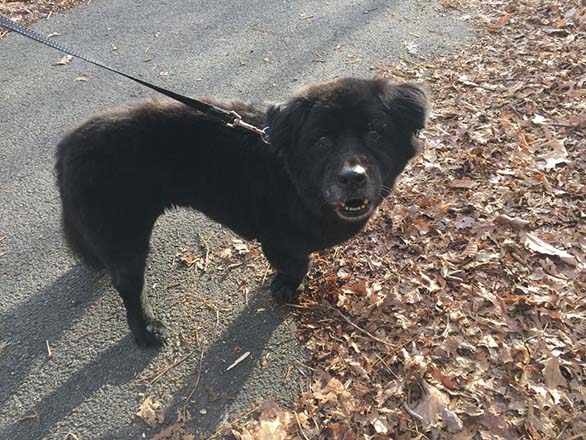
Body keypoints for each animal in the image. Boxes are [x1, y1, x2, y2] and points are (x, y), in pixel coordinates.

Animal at [56, 78, 424, 348]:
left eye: (375, 131)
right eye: (321, 141)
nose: (352, 177)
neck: (293, 177)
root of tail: (68, 143)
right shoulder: (278, 238)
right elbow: (296, 263)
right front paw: (286, 287)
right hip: (125, 233)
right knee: (128, 286)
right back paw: (146, 330)